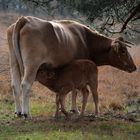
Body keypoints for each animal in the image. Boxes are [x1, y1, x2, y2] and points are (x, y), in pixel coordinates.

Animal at [7, 15, 136, 117]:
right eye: (123, 51)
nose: (134, 67)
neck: (86, 39)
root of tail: (25, 19)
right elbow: (75, 91)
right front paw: (74, 109)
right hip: (32, 64)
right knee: (25, 84)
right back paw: (26, 113)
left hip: (14, 63)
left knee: (15, 85)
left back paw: (18, 112)